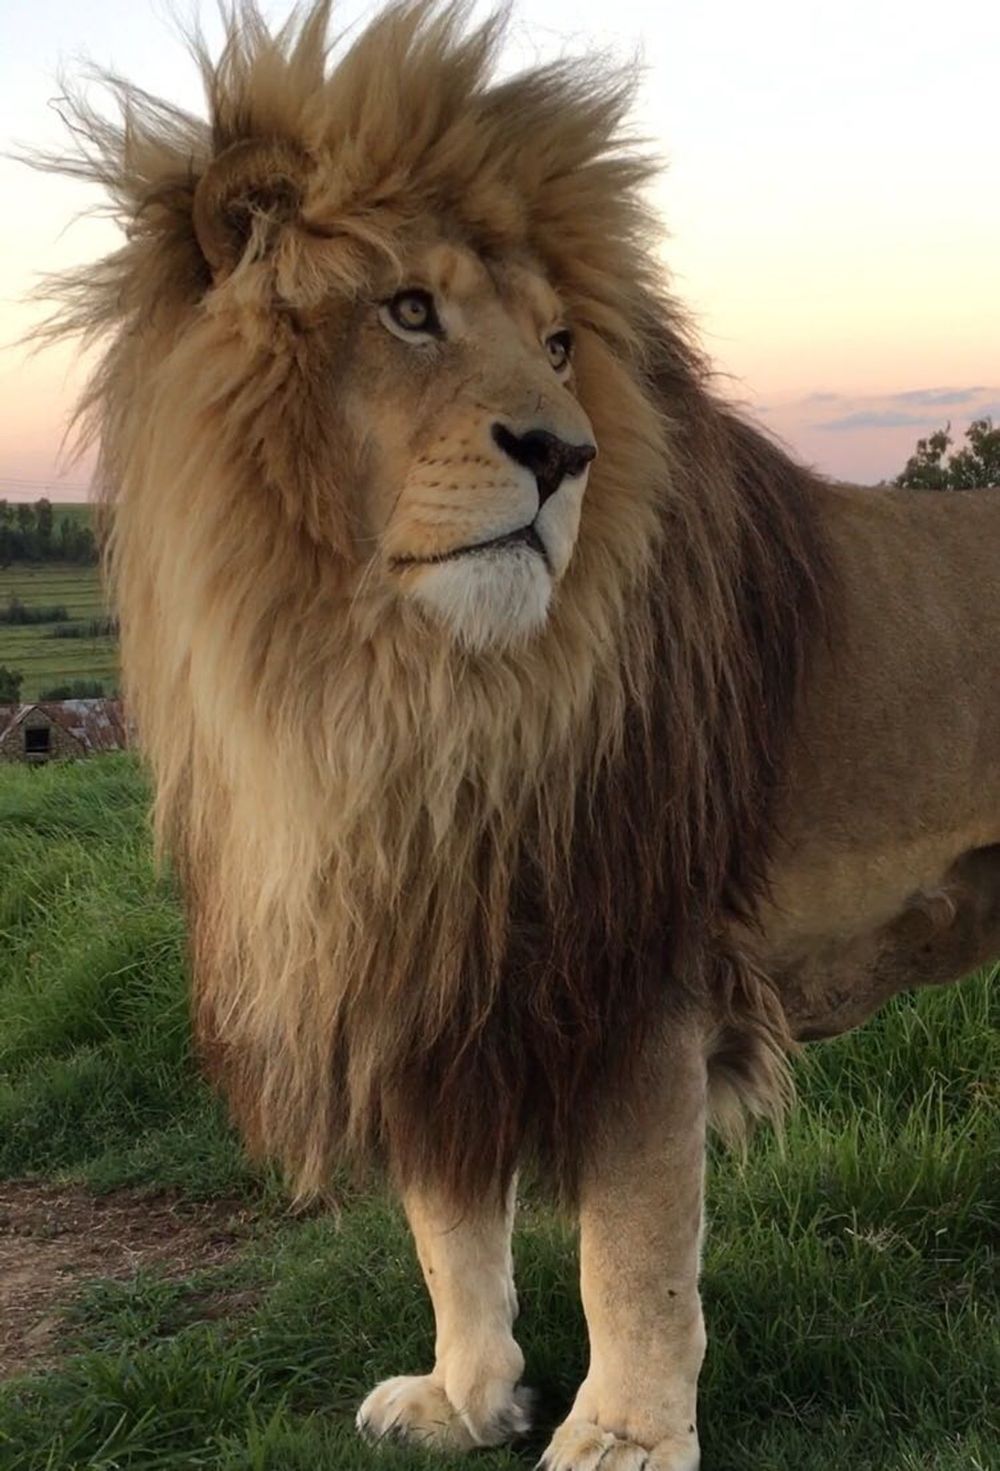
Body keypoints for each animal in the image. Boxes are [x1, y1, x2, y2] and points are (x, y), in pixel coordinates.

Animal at [32, 2, 1000, 1466]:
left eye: (556, 346)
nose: (562, 453)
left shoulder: (637, 971)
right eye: (409, 309)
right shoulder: (423, 954)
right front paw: (467, 1396)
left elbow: (633, 1249)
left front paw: (625, 1436)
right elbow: (448, 1225)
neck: (403, 695)